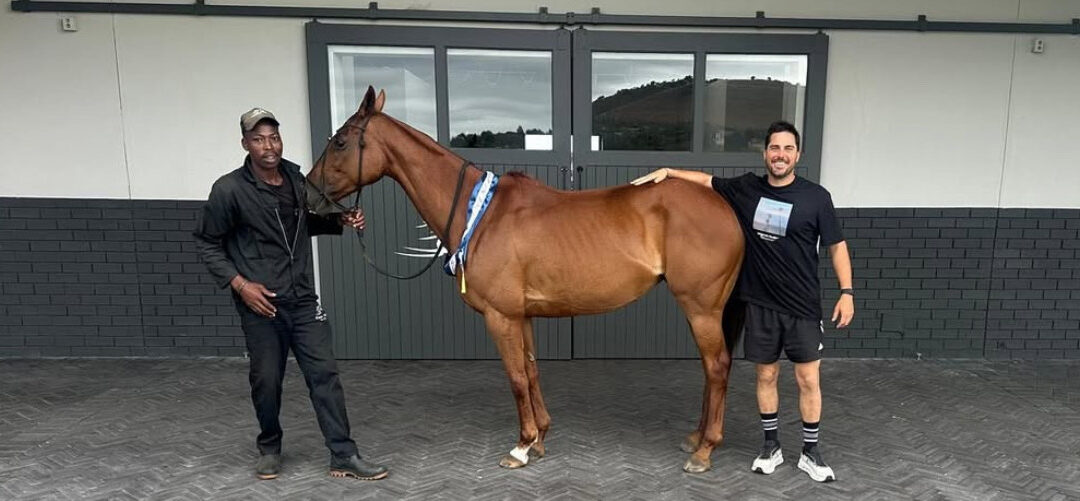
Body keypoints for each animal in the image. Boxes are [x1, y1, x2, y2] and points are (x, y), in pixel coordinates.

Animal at [305, 86, 744, 473]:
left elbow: (515, 378)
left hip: (700, 307)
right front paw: (540, 440)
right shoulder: (522, 315)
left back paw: (704, 450)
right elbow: (531, 372)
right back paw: (695, 437)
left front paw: (520, 446)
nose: (309, 194)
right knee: (711, 369)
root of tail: (723, 204)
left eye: (341, 141)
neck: (480, 215)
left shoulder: (500, 316)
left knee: (717, 366)